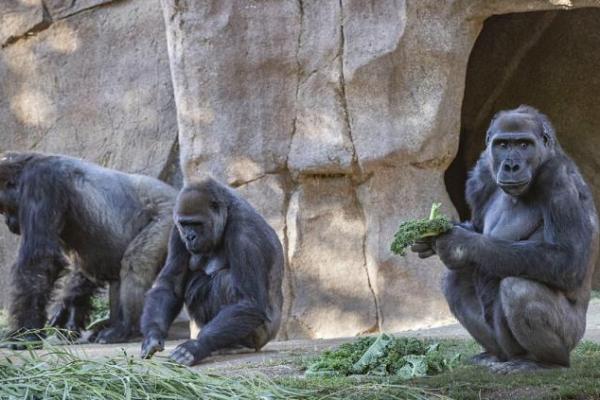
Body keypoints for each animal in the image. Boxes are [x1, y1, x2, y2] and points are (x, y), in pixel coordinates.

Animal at [0, 152, 178, 346]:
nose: (8, 223)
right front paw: (67, 306)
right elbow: (87, 265)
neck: (24, 168)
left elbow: (39, 260)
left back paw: (125, 327)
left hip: (169, 217)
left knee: (135, 263)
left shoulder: (41, 182)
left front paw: (25, 331)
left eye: (4, 209)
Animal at [141, 178, 284, 366]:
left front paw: (197, 346)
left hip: (262, 336)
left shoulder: (245, 233)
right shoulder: (176, 231)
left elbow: (248, 301)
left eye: (197, 223)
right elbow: (170, 286)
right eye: (185, 224)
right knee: (197, 282)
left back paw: (238, 345)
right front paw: (152, 336)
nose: (190, 237)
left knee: (225, 281)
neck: (227, 212)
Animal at [412, 105, 600, 372]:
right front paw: (430, 235)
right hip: (503, 346)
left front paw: (459, 244)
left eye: (523, 144)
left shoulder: (558, 178)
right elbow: (477, 227)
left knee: (519, 288)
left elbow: (568, 258)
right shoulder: (482, 174)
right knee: (454, 280)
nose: (511, 166)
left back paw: (546, 362)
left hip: (573, 335)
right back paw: (494, 355)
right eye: (502, 144)